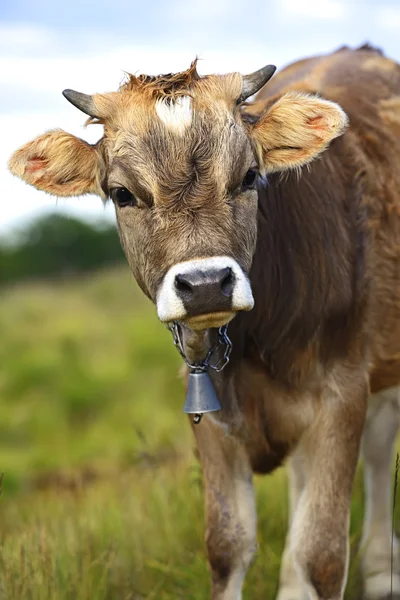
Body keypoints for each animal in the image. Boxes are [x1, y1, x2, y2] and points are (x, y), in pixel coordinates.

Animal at [7, 43, 400, 600]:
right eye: (123, 194)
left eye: (249, 176)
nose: (207, 283)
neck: (253, 347)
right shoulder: (208, 412)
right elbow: (227, 546)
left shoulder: (342, 392)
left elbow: (320, 555)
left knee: (380, 445)